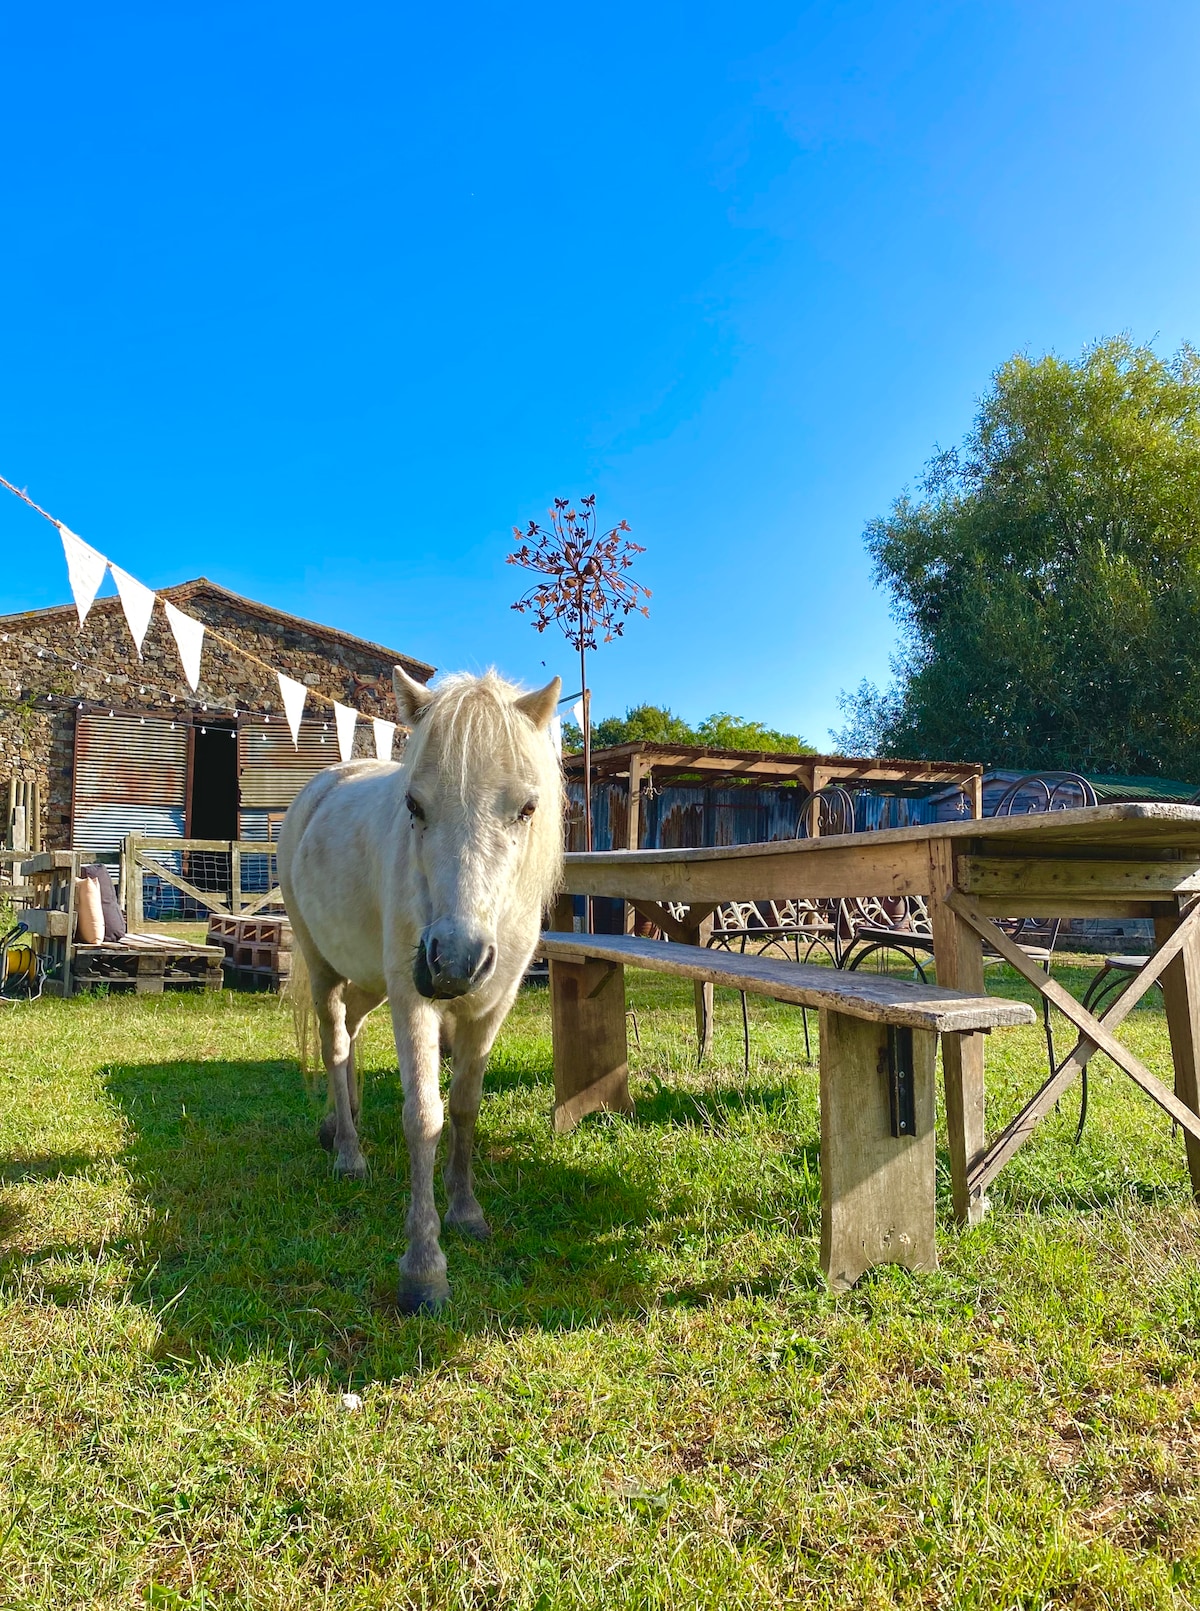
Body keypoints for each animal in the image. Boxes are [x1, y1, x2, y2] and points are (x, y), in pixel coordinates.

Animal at [278, 666, 563, 1308]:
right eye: (414, 804)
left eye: (527, 807)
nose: (454, 961)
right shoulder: (415, 1004)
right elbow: (424, 1117)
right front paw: (424, 1266)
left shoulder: (490, 1008)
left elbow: (464, 1107)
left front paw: (466, 1211)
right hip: (325, 968)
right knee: (334, 1044)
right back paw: (349, 1153)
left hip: (372, 980)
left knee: (352, 1036)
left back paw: (339, 1123)